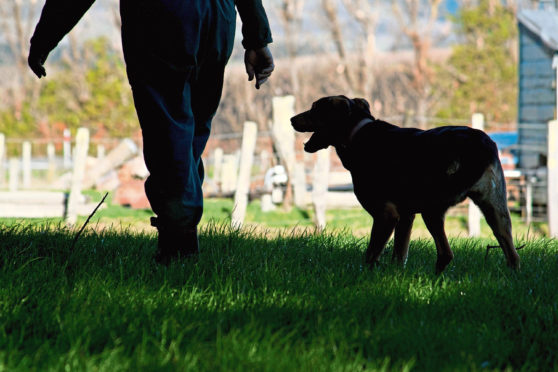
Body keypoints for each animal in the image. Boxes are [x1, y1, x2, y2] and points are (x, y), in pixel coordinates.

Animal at [290, 96, 524, 274]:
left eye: (314, 108)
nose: (291, 119)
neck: (357, 132)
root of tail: (480, 144)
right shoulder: (405, 216)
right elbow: (399, 255)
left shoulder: (386, 214)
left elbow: (372, 253)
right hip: (496, 210)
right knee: (512, 254)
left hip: (433, 209)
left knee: (446, 253)